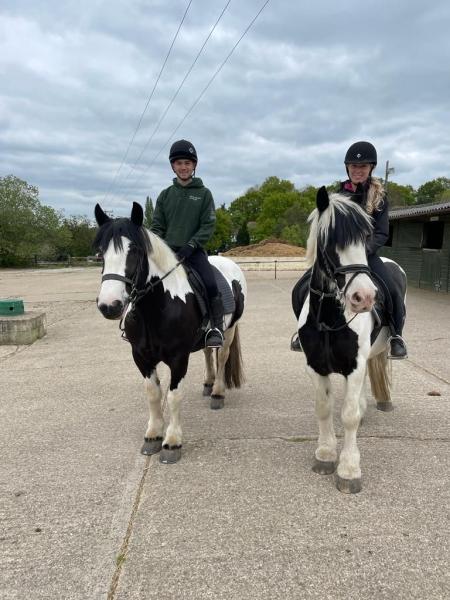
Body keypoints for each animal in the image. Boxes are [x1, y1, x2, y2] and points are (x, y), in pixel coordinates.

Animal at [296, 186, 408, 492]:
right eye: (330, 239)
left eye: (366, 237)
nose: (364, 298)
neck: (330, 318)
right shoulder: (315, 366)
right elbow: (324, 407)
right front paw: (325, 454)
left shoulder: (355, 366)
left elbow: (348, 416)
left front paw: (348, 469)